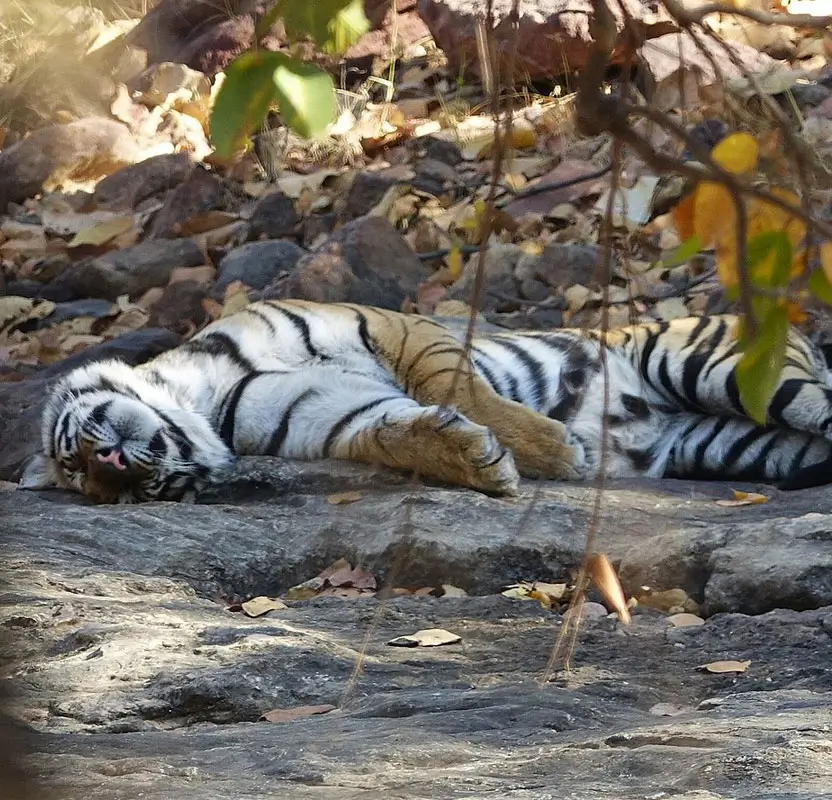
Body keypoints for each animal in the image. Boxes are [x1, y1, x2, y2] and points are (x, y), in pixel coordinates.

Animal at [19, 299, 832, 504]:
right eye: (97, 485)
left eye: (76, 452)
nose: (113, 465)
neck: (203, 398)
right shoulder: (325, 411)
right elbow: (389, 431)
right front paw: (479, 462)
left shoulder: (389, 328)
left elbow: (460, 386)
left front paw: (551, 451)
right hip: (743, 444)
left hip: (723, 369)